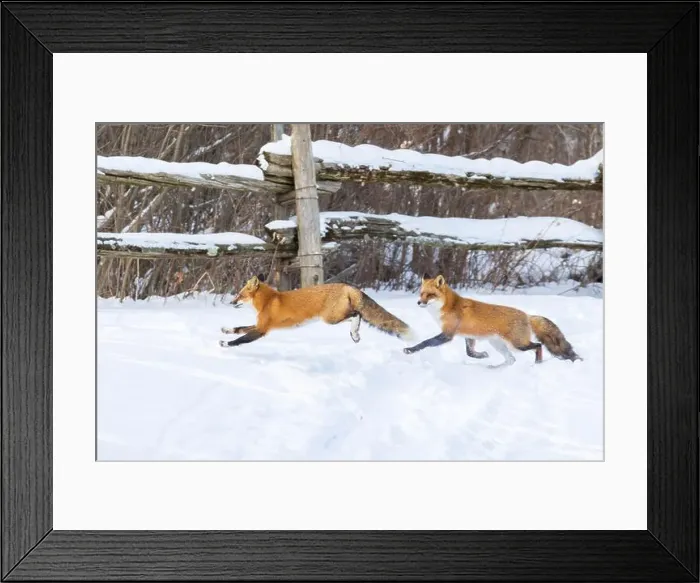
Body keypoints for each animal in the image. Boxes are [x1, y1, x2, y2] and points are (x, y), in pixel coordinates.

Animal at [219, 274, 414, 348]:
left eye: (240, 295)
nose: (230, 302)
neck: (268, 301)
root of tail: (347, 286)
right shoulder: (259, 325)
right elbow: (239, 328)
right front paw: (226, 330)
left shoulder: (262, 329)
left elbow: (240, 339)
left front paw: (225, 344)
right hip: (333, 317)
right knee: (356, 315)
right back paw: (355, 334)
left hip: (330, 318)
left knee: (356, 314)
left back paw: (355, 334)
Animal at [403, 273, 582, 367]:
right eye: (421, 293)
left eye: (430, 295)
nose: (419, 302)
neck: (449, 307)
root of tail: (527, 315)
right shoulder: (468, 335)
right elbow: (470, 352)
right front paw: (482, 356)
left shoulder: (447, 334)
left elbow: (424, 343)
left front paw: (410, 350)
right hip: (497, 344)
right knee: (511, 360)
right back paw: (494, 368)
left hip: (518, 344)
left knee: (537, 346)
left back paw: (537, 364)